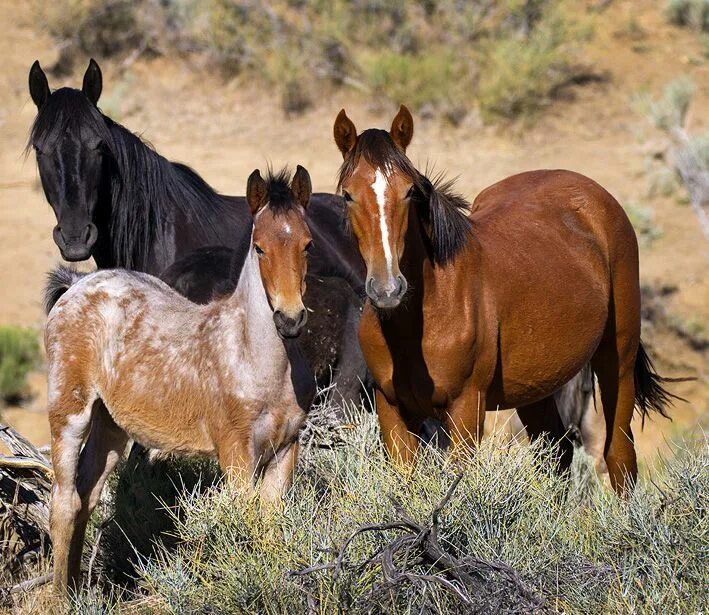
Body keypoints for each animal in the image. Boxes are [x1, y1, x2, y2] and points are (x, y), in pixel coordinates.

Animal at [42, 166, 312, 596]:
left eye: (307, 244)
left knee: (88, 493)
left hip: (110, 426)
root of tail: (76, 285)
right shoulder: (236, 454)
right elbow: (245, 525)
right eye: (260, 248)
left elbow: (270, 527)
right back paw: (60, 599)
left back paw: (80, 592)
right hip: (69, 413)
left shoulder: (286, 450)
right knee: (64, 502)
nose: (290, 318)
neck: (262, 360)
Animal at [334, 103, 676, 494]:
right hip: (536, 385)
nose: (388, 289)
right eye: (347, 195)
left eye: (408, 192)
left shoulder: (466, 408)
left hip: (616, 362)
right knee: (556, 454)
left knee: (618, 455)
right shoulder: (392, 410)